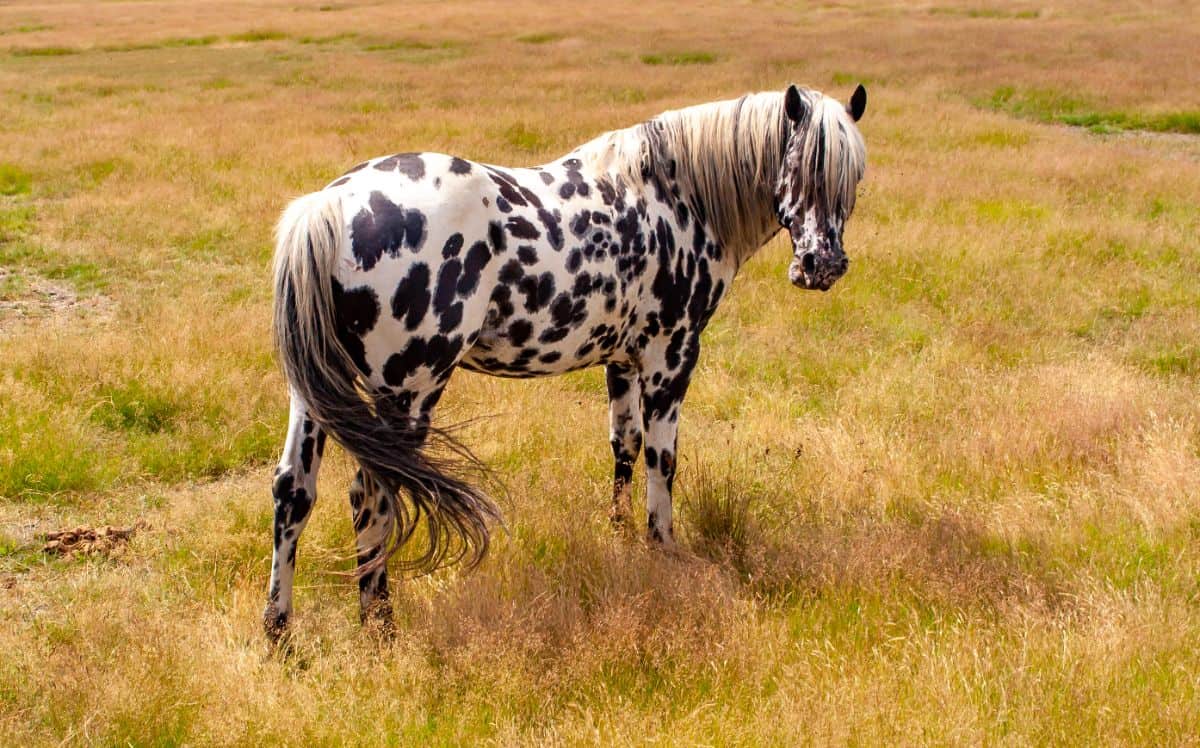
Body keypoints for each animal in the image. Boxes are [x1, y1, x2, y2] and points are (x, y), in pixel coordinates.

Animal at [267, 83, 868, 638]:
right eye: (802, 165)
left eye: (854, 176)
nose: (822, 266)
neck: (680, 197)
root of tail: (330, 204)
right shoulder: (671, 356)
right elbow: (663, 461)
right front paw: (663, 549)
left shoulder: (622, 361)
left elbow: (624, 446)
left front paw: (620, 535)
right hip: (407, 392)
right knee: (371, 498)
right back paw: (380, 626)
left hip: (317, 397)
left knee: (294, 494)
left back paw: (280, 635)